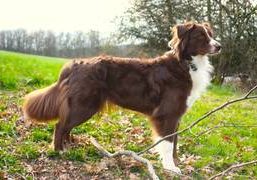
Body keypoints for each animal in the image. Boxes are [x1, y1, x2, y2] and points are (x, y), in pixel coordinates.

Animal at [22, 21, 220, 174]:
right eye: (200, 36)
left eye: (211, 34)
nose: (219, 46)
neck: (186, 63)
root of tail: (75, 64)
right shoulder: (166, 115)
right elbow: (167, 143)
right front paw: (170, 168)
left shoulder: (176, 116)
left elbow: (174, 143)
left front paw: (175, 163)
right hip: (84, 105)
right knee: (60, 125)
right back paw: (59, 151)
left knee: (66, 126)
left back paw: (69, 146)